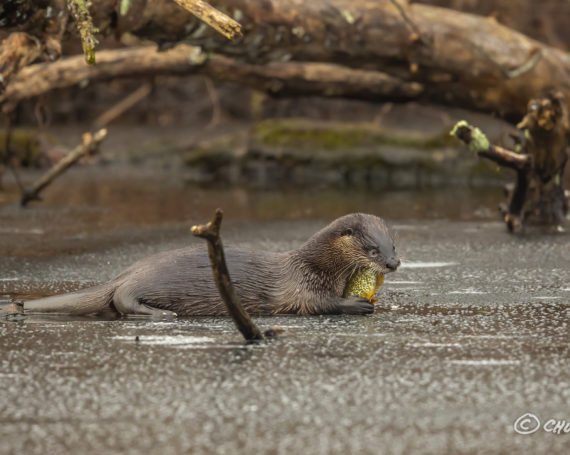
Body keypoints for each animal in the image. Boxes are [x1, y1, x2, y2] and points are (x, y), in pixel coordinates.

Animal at [18, 214, 400, 318]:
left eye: (393, 245)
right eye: (372, 249)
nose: (393, 262)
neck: (315, 266)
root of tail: (124, 272)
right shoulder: (301, 287)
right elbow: (317, 304)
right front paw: (358, 303)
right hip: (143, 283)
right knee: (123, 299)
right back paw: (161, 314)